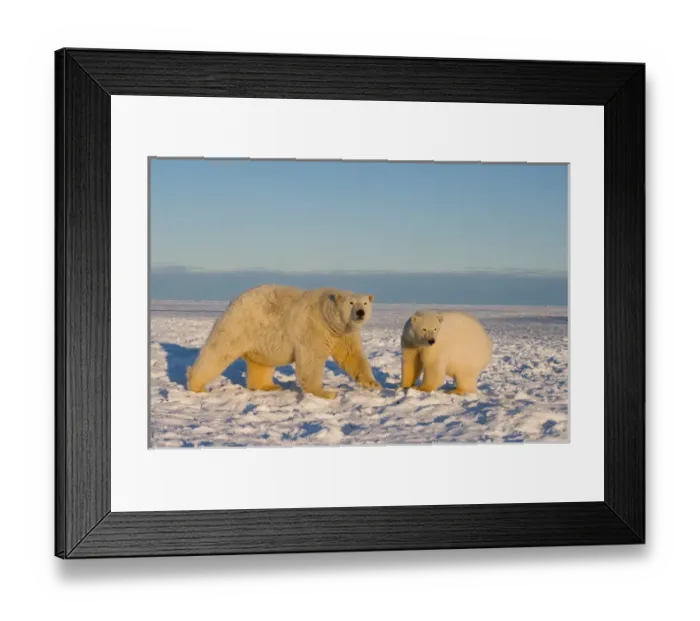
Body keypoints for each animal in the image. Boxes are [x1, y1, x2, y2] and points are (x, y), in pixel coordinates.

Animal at [186, 284, 381, 399]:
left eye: (365, 303)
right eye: (351, 303)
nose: (361, 313)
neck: (327, 315)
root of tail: (233, 301)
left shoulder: (344, 333)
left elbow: (352, 355)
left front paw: (373, 383)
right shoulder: (313, 327)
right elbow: (312, 360)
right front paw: (326, 393)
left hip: (261, 339)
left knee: (261, 363)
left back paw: (269, 386)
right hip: (240, 325)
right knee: (218, 351)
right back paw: (197, 385)